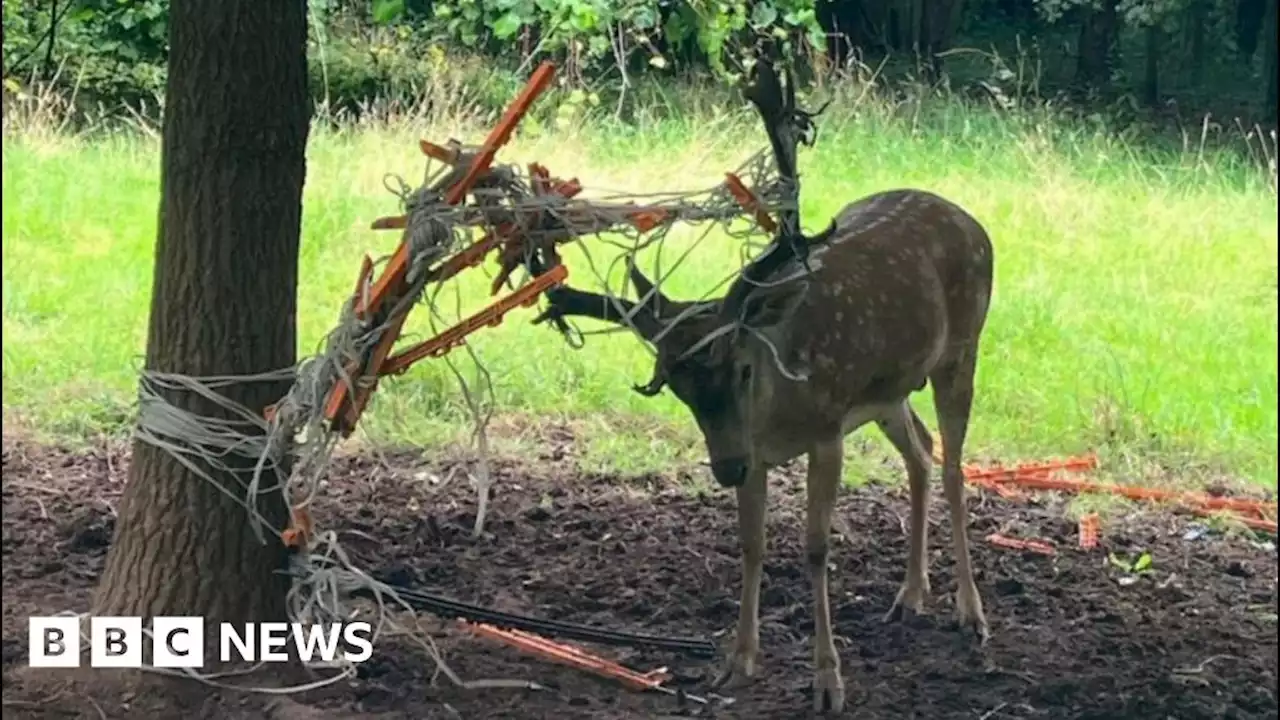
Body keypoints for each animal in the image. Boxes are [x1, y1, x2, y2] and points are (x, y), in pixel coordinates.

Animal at [535, 58, 993, 707]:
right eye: (673, 386)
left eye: (743, 366)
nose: (725, 467)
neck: (779, 412)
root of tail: (973, 222)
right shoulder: (757, 449)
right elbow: (751, 544)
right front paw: (738, 660)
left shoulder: (827, 428)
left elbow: (815, 547)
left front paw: (827, 680)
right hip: (887, 392)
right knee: (922, 451)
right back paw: (909, 597)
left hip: (961, 349)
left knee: (955, 465)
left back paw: (970, 612)